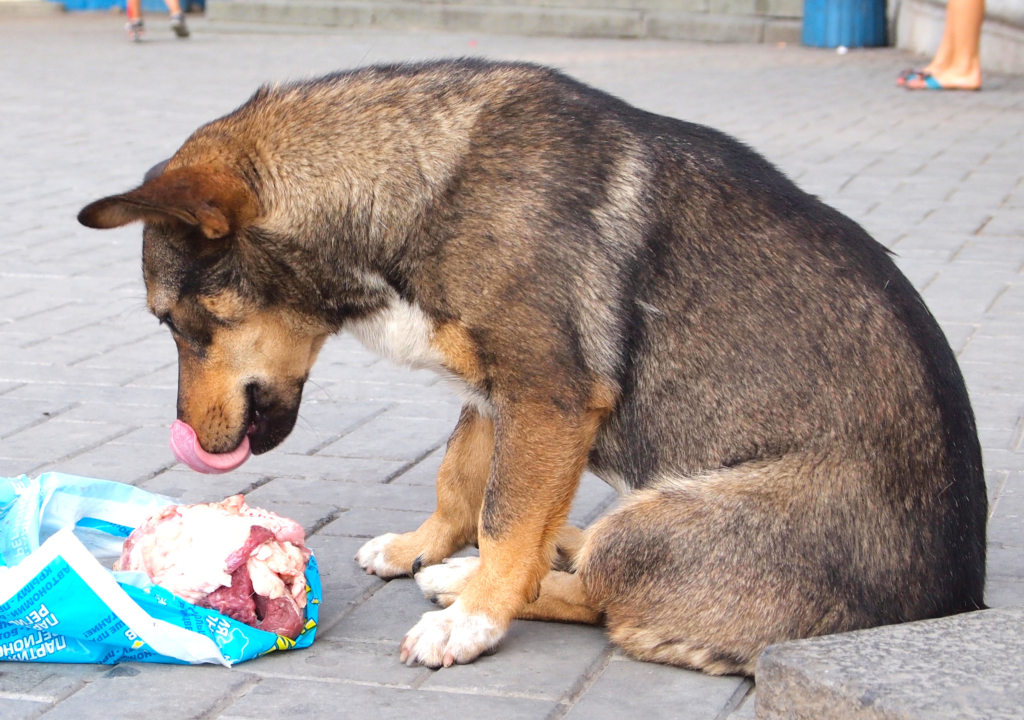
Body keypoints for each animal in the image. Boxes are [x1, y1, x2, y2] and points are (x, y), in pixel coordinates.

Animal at [75, 57, 987, 675]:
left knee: (608, 597)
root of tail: (957, 599)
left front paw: (476, 615)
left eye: (180, 325)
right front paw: (424, 546)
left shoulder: (547, 398)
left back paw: (479, 583)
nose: (192, 441)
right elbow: (464, 483)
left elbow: (507, 521)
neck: (412, 193)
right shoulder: (493, 396)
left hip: (655, 526)